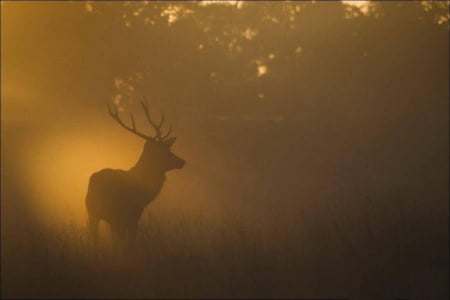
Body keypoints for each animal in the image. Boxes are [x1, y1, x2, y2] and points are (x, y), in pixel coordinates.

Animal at [85, 98, 185, 248]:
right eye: (164, 151)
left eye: (168, 149)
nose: (182, 161)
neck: (142, 195)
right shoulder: (124, 216)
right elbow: (126, 245)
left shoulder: (131, 217)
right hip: (99, 212)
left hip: (99, 214)